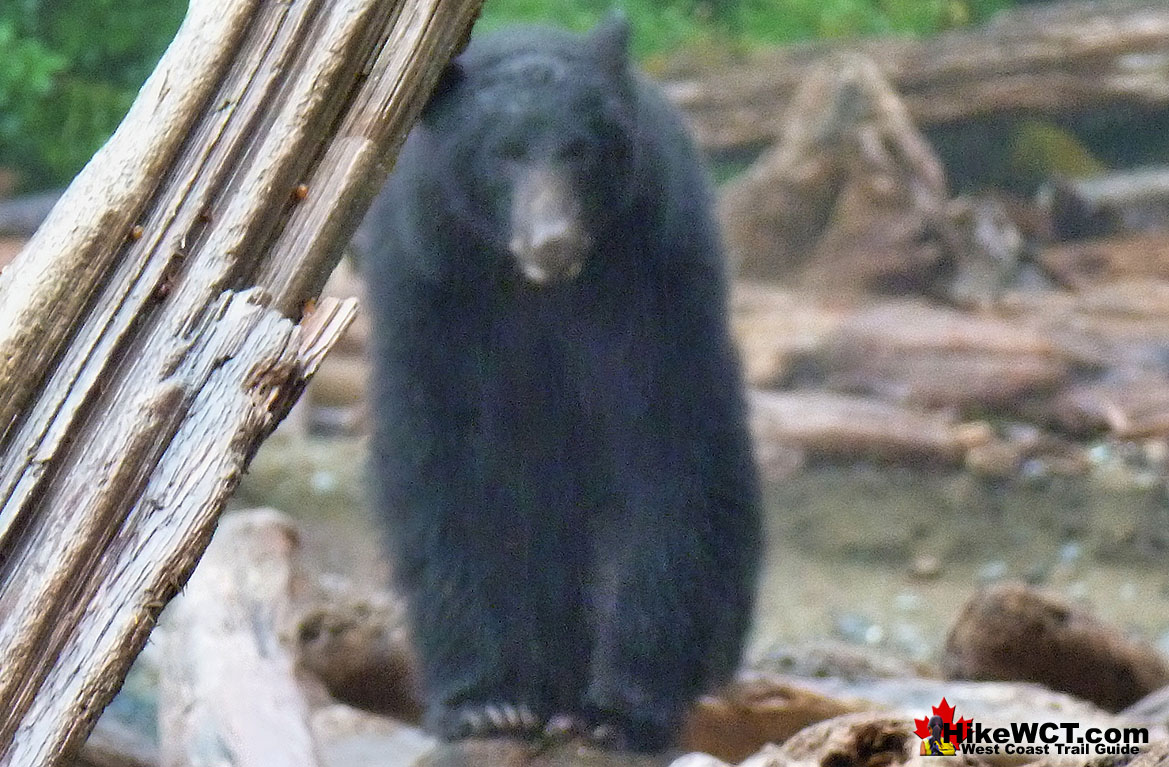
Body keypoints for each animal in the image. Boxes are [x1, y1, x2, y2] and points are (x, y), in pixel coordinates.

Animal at [364, 14, 766, 752]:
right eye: (504, 154)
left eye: (579, 150)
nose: (551, 241)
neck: (538, 291)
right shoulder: (429, 293)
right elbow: (442, 468)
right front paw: (483, 702)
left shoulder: (654, 279)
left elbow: (667, 454)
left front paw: (619, 711)